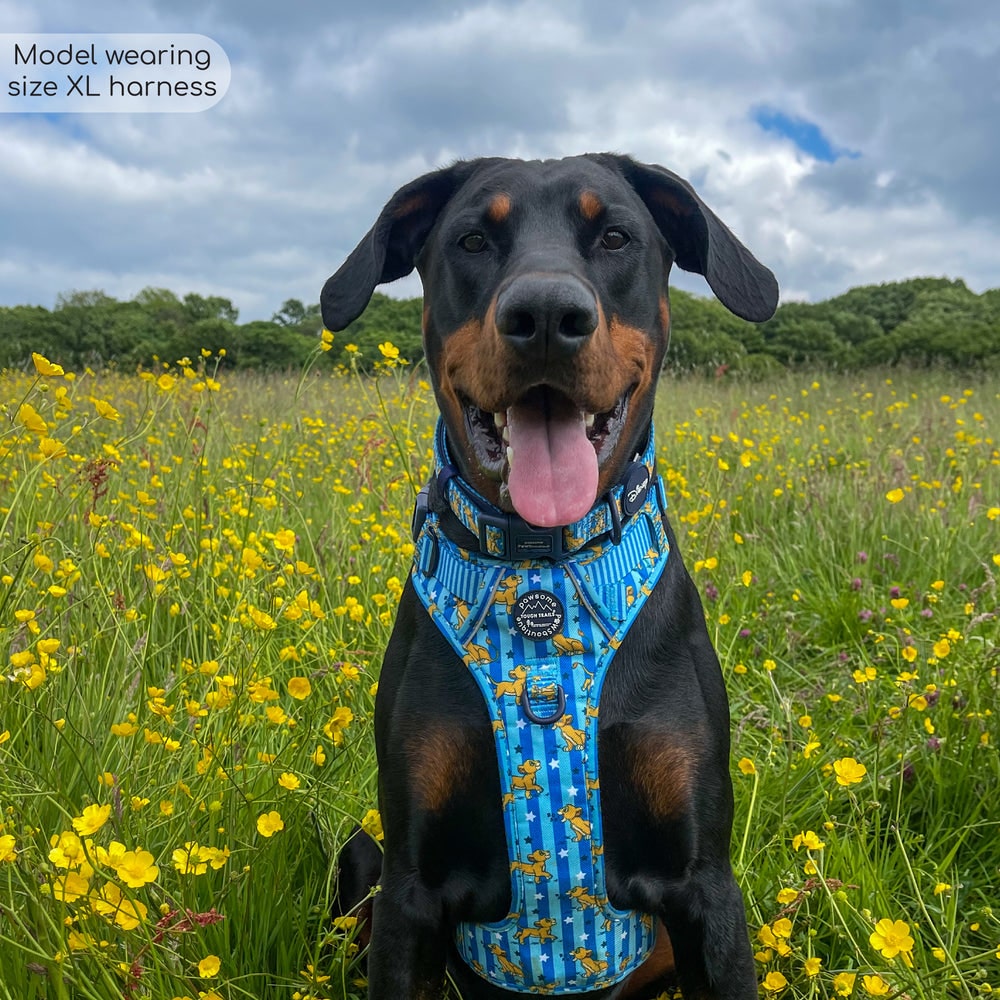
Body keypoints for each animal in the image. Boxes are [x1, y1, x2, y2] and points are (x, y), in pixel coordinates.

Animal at [324, 156, 776, 1000]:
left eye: (616, 236)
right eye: (472, 239)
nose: (543, 315)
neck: (542, 579)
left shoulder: (706, 885)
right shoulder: (409, 885)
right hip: (364, 856)